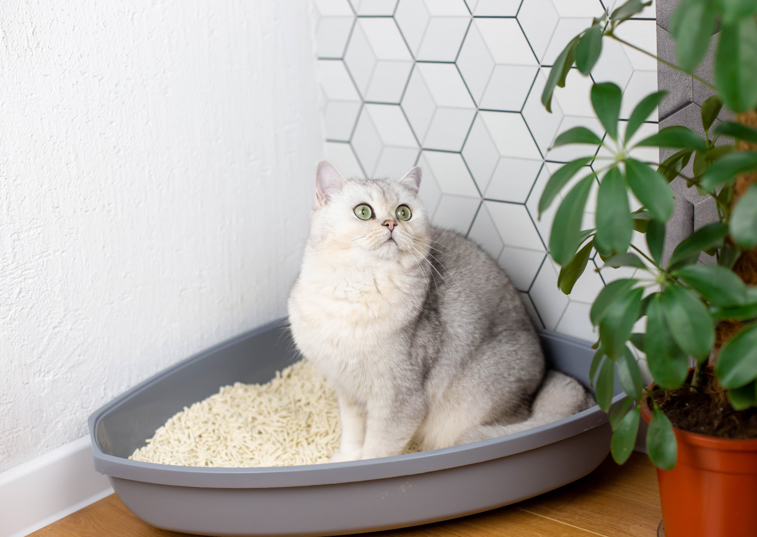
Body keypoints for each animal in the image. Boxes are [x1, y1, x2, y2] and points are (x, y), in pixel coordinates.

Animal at [286, 160, 592, 460]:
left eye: (404, 211)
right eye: (363, 211)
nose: (391, 223)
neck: (357, 288)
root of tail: (542, 381)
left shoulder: (400, 398)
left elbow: (377, 449)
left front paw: (363, 465)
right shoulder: (348, 391)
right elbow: (352, 433)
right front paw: (347, 458)